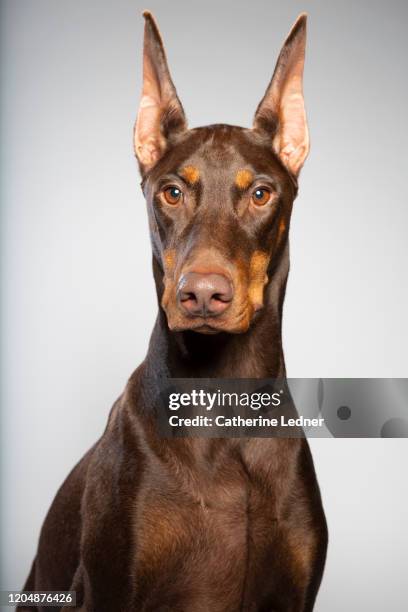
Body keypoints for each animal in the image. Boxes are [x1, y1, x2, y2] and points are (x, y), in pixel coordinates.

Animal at [21, 10, 328, 612]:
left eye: (261, 193)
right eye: (171, 192)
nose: (202, 294)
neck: (223, 402)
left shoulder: (296, 591)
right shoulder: (110, 585)